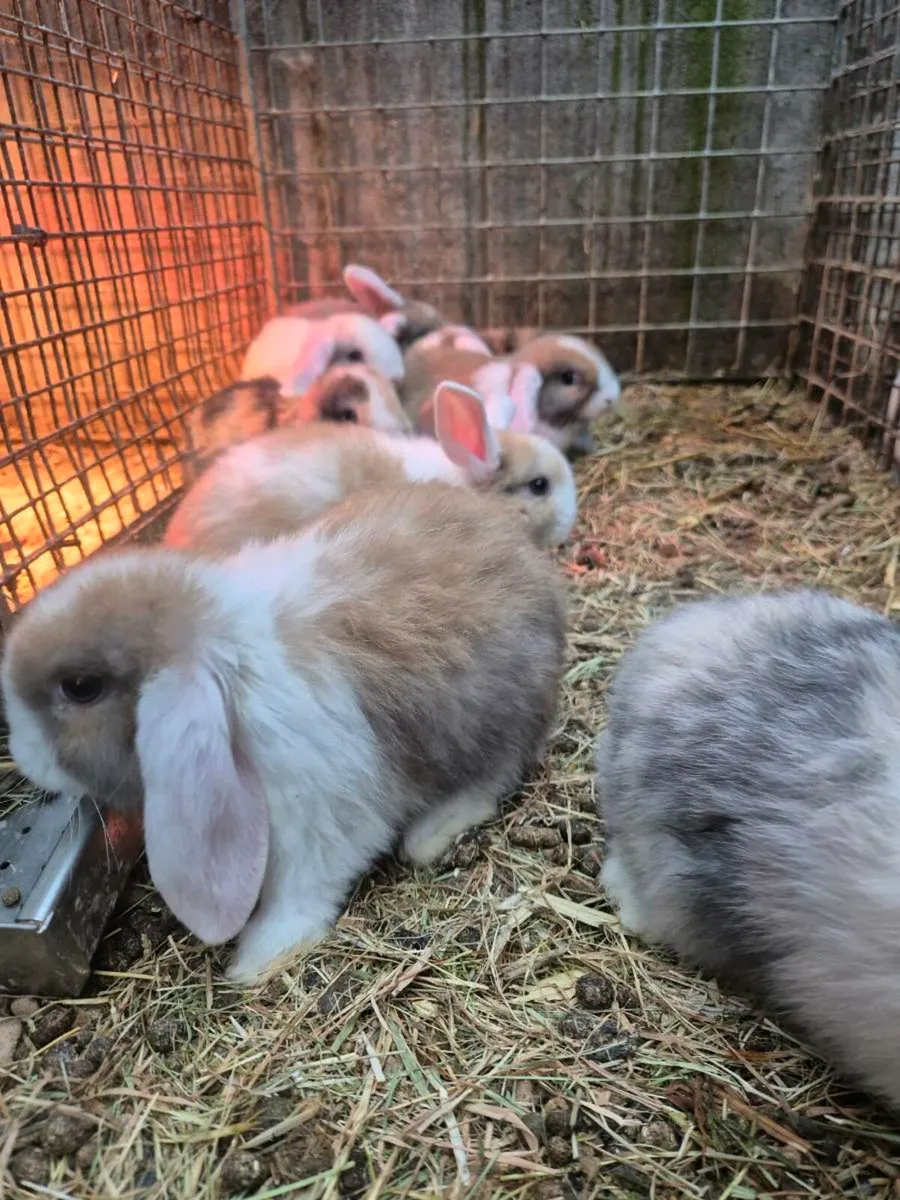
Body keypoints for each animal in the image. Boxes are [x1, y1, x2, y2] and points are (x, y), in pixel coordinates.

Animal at [1, 480, 568, 984]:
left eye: (80, 687)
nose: (23, 756)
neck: (232, 677)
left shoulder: (319, 820)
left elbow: (300, 891)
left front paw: (255, 961)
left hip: (494, 718)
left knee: (493, 777)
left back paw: (431, 834)